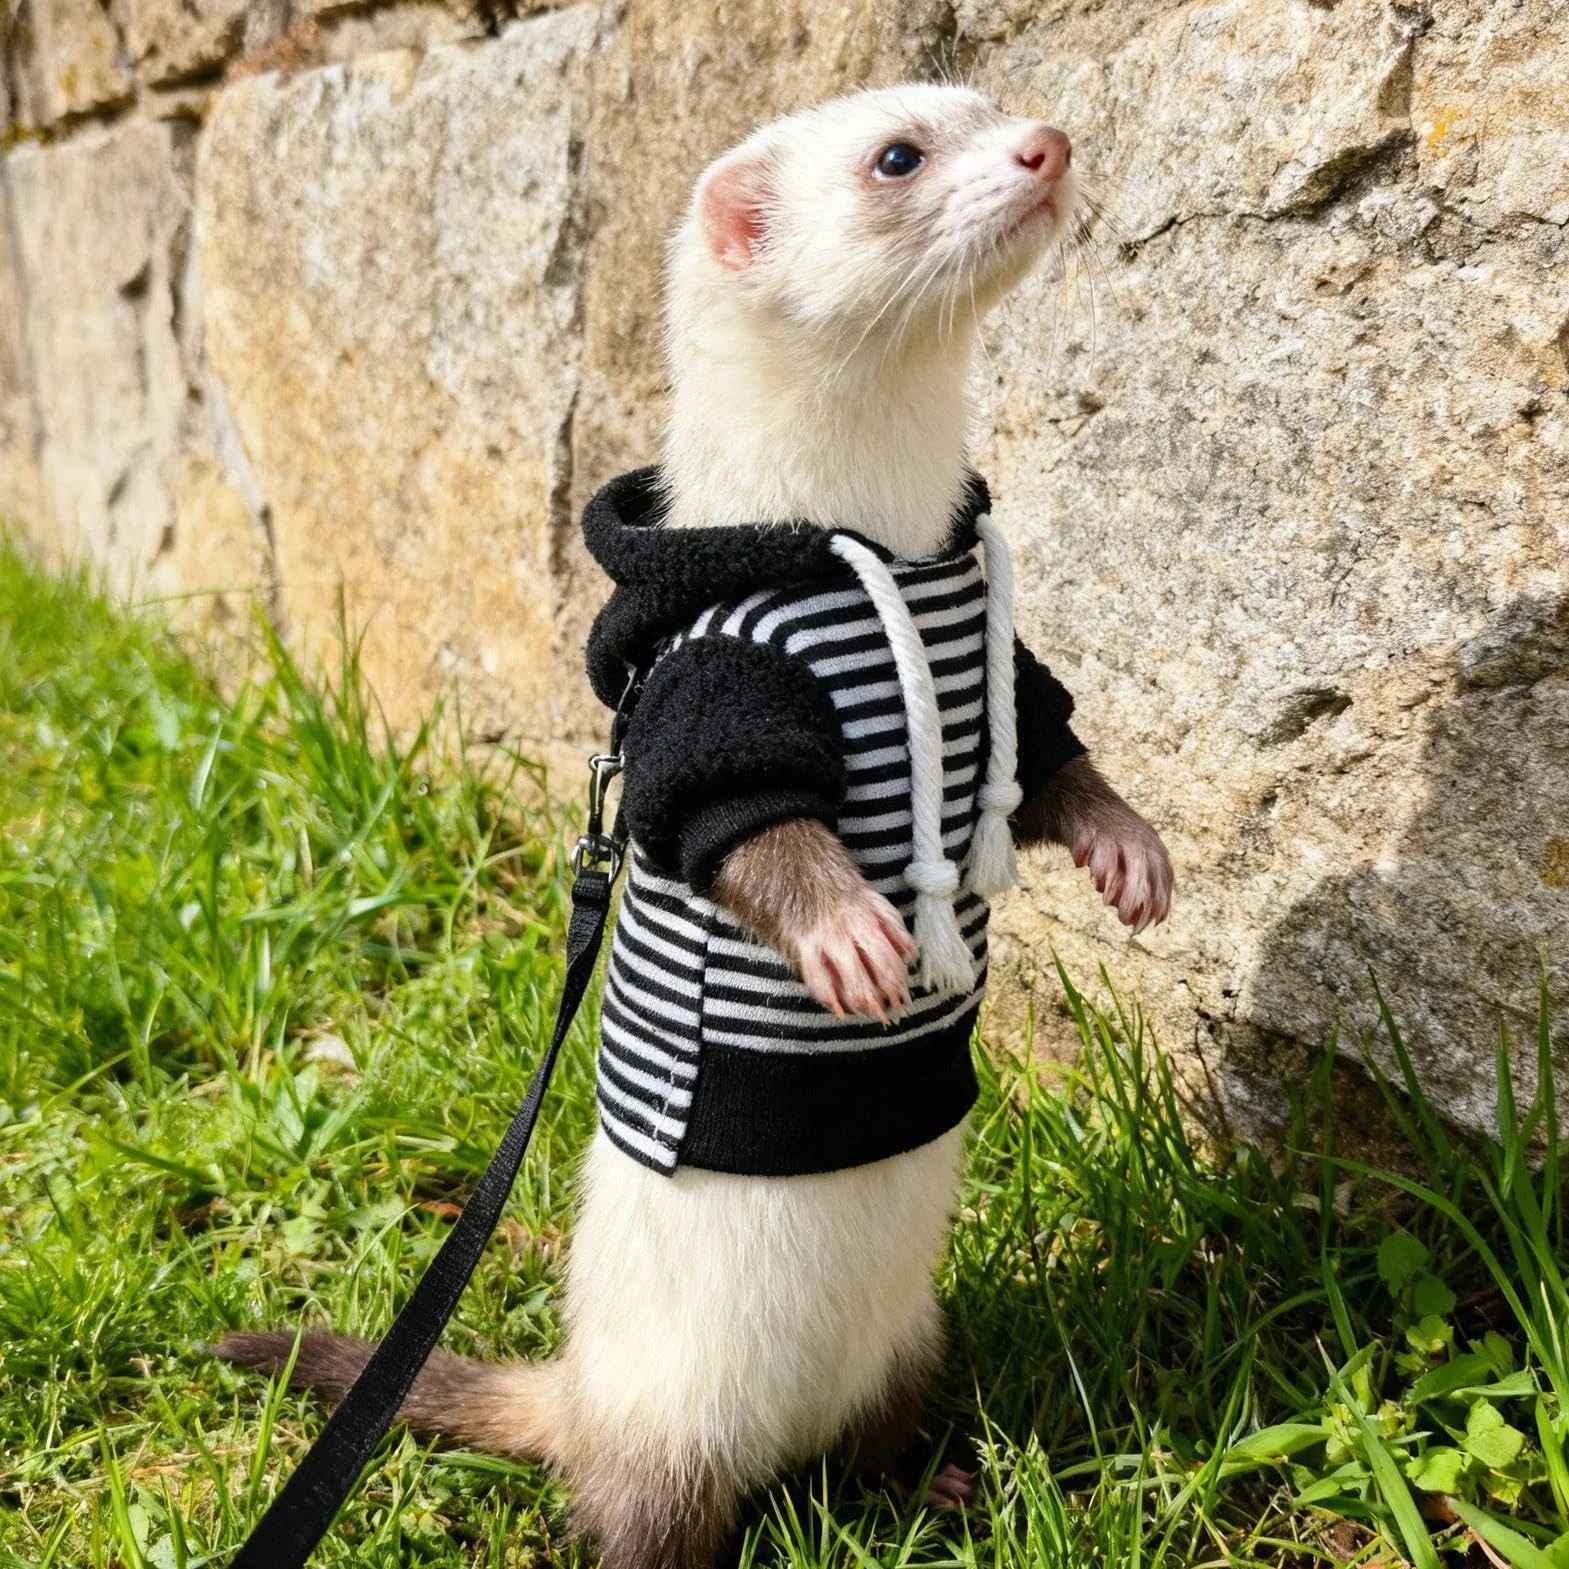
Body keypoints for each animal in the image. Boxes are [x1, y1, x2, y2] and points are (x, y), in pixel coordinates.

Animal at [218, 83, 1174, 1569]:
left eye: (982, 103)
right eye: (897, 153)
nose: (1047, 144)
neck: (881, 542)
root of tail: (582, 1394)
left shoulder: (1008, 677)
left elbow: (1057, 764)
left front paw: (1132, 854)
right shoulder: (702, 703)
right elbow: (749, 832)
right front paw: (848, 935)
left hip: (910, 1344)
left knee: (870, 1448)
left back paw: (934, 1487)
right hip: (662, 1445)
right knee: (648, 1514)